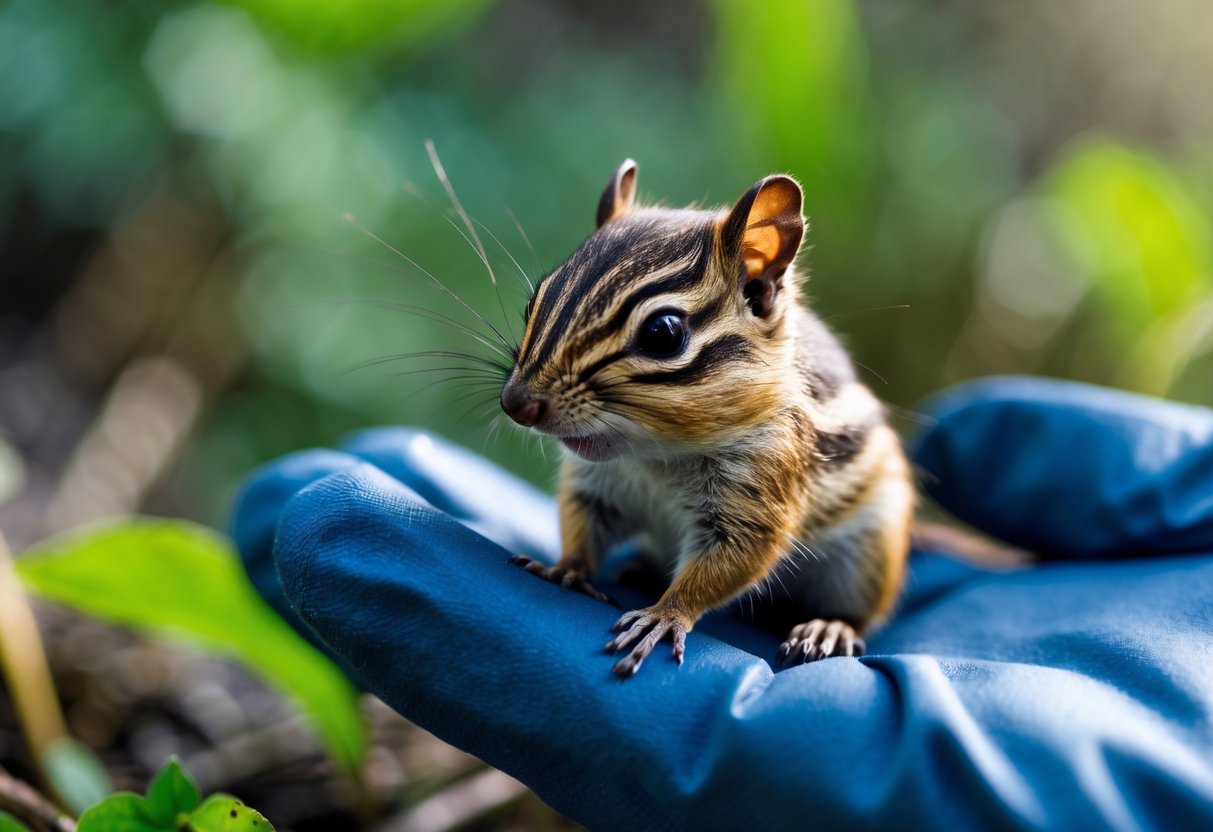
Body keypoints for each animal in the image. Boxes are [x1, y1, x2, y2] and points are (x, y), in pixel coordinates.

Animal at [503, 160, 914, 678]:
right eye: (533, 301)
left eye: (663, 333)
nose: (515, 403)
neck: (656, 458)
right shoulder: (594, 485)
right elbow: (580, 525)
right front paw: (566, 567)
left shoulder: (758, 490)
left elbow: (728, 564)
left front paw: (663, 616)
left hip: (871, 552)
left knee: (856, 612)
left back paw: (828, 628)